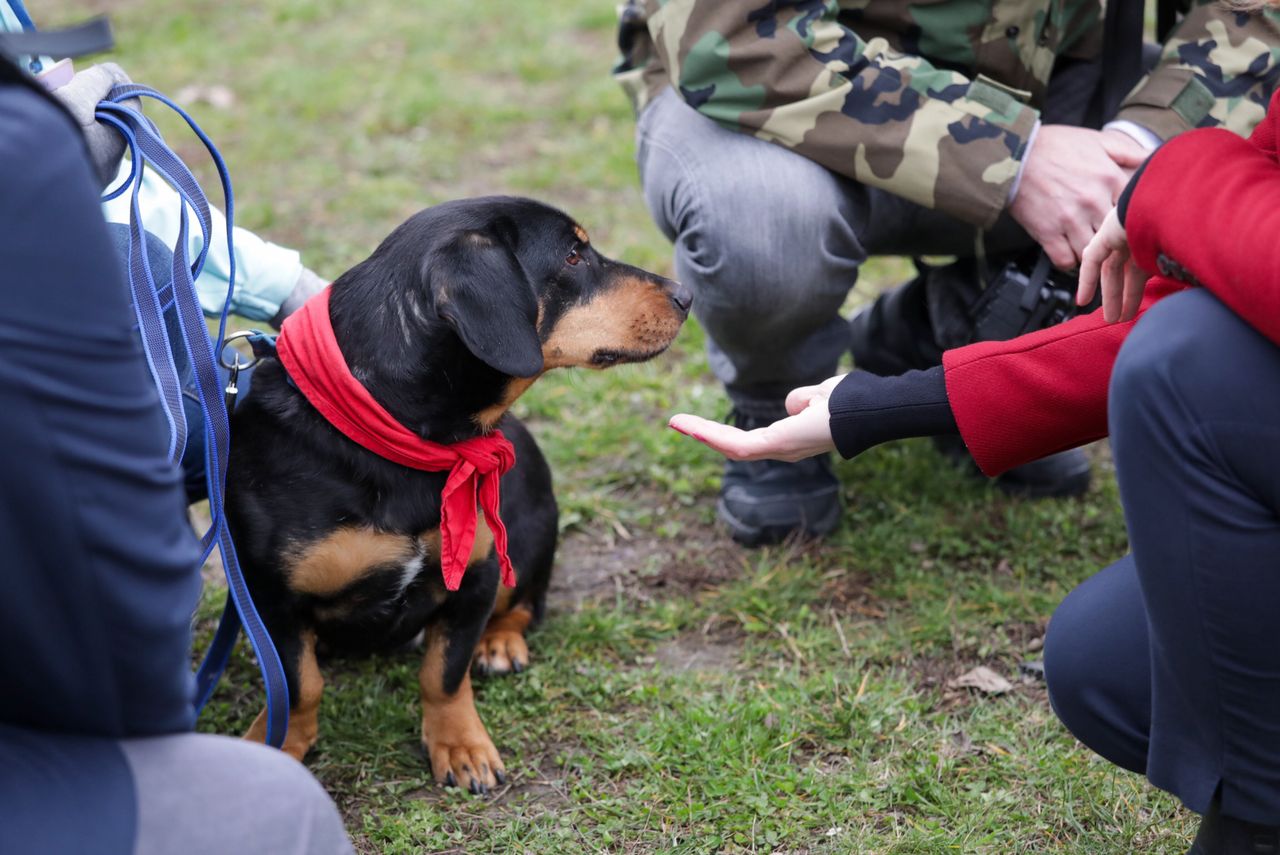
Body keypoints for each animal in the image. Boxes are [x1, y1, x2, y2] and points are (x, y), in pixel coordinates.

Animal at [226, 197, 696, 793]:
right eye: (572, 255)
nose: (686, 295)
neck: (401, 439)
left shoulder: (477, 576)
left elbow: (444, 674)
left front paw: (460, 745)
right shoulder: (269, 596)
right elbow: (298, 682)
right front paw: (279, 742)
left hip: (531, 539)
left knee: (526, 605)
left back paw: (500, 644)